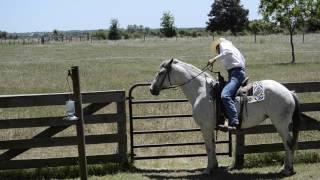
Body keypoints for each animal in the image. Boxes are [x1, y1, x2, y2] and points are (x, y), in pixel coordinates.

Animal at [150, 58, 300, 176]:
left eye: (161, 73)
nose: (151, 89)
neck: (201, 91)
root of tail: (288, 92)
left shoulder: (205, 127)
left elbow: (208, 147)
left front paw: (207, 170)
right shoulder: (210, 127)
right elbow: (213, 145)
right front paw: (214, 166)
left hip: (280, 123)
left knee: (288, 143)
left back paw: (287, 169)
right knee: (287, 143)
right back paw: (286, 168)